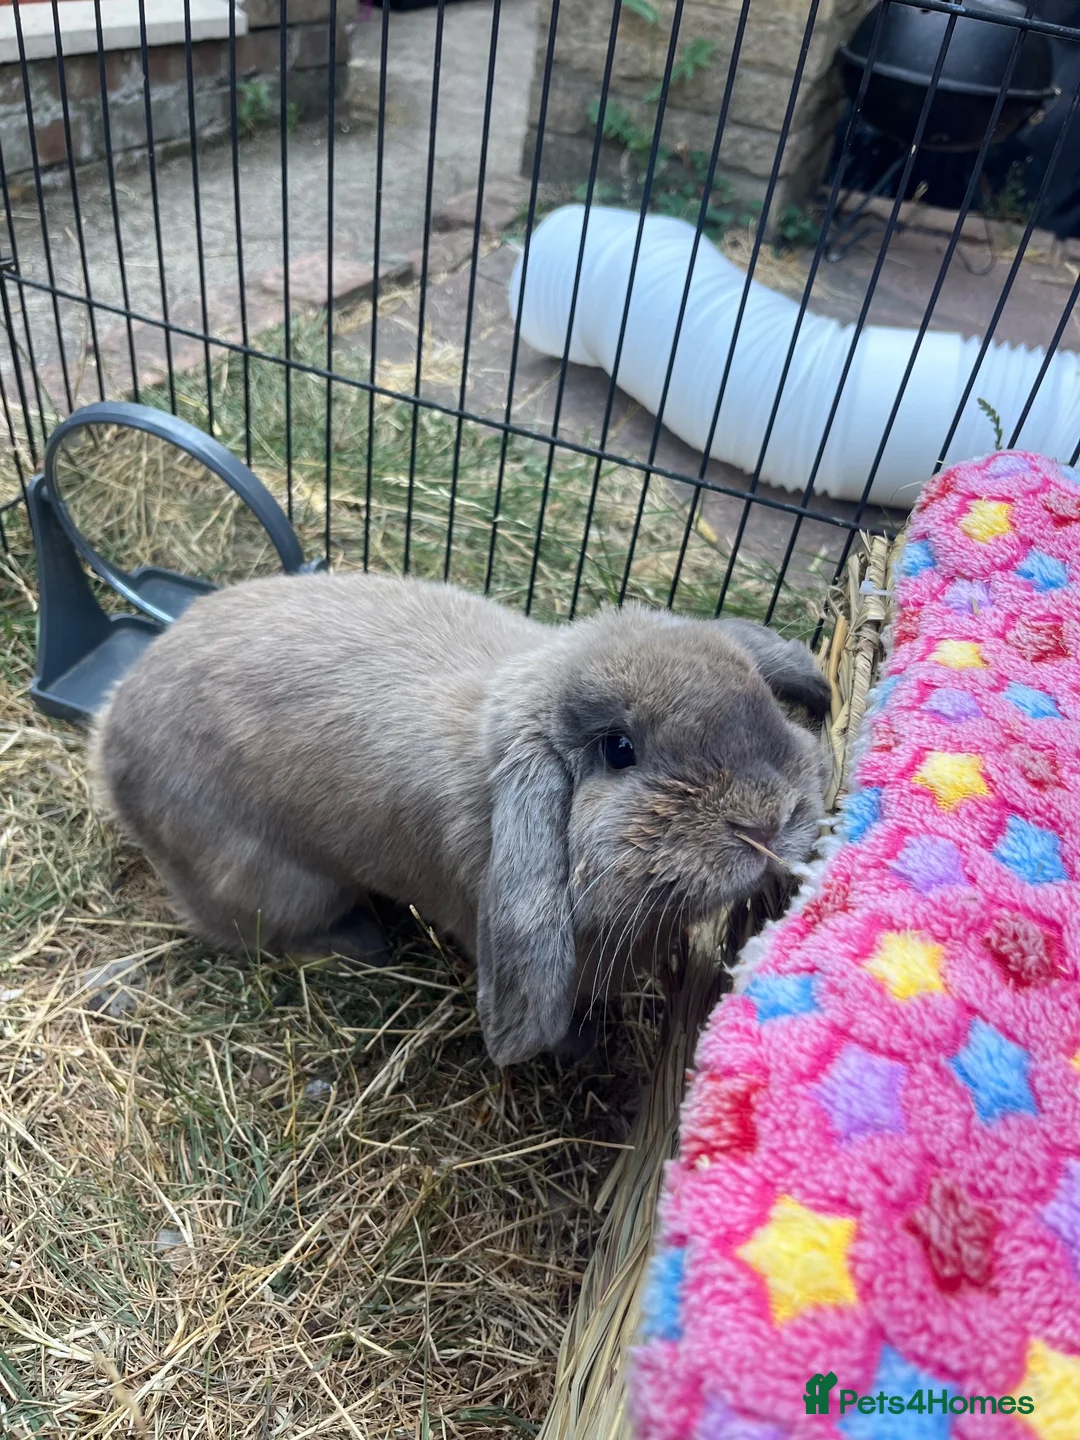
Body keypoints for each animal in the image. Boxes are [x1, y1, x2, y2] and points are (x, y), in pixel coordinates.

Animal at [90, 571, 831, 1067]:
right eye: (619, 749)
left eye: (760, 694)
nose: (768, 821)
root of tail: (111, 741)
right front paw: (588, 1047)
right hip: (282, 884)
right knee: (246, 931)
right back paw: (360, 943)